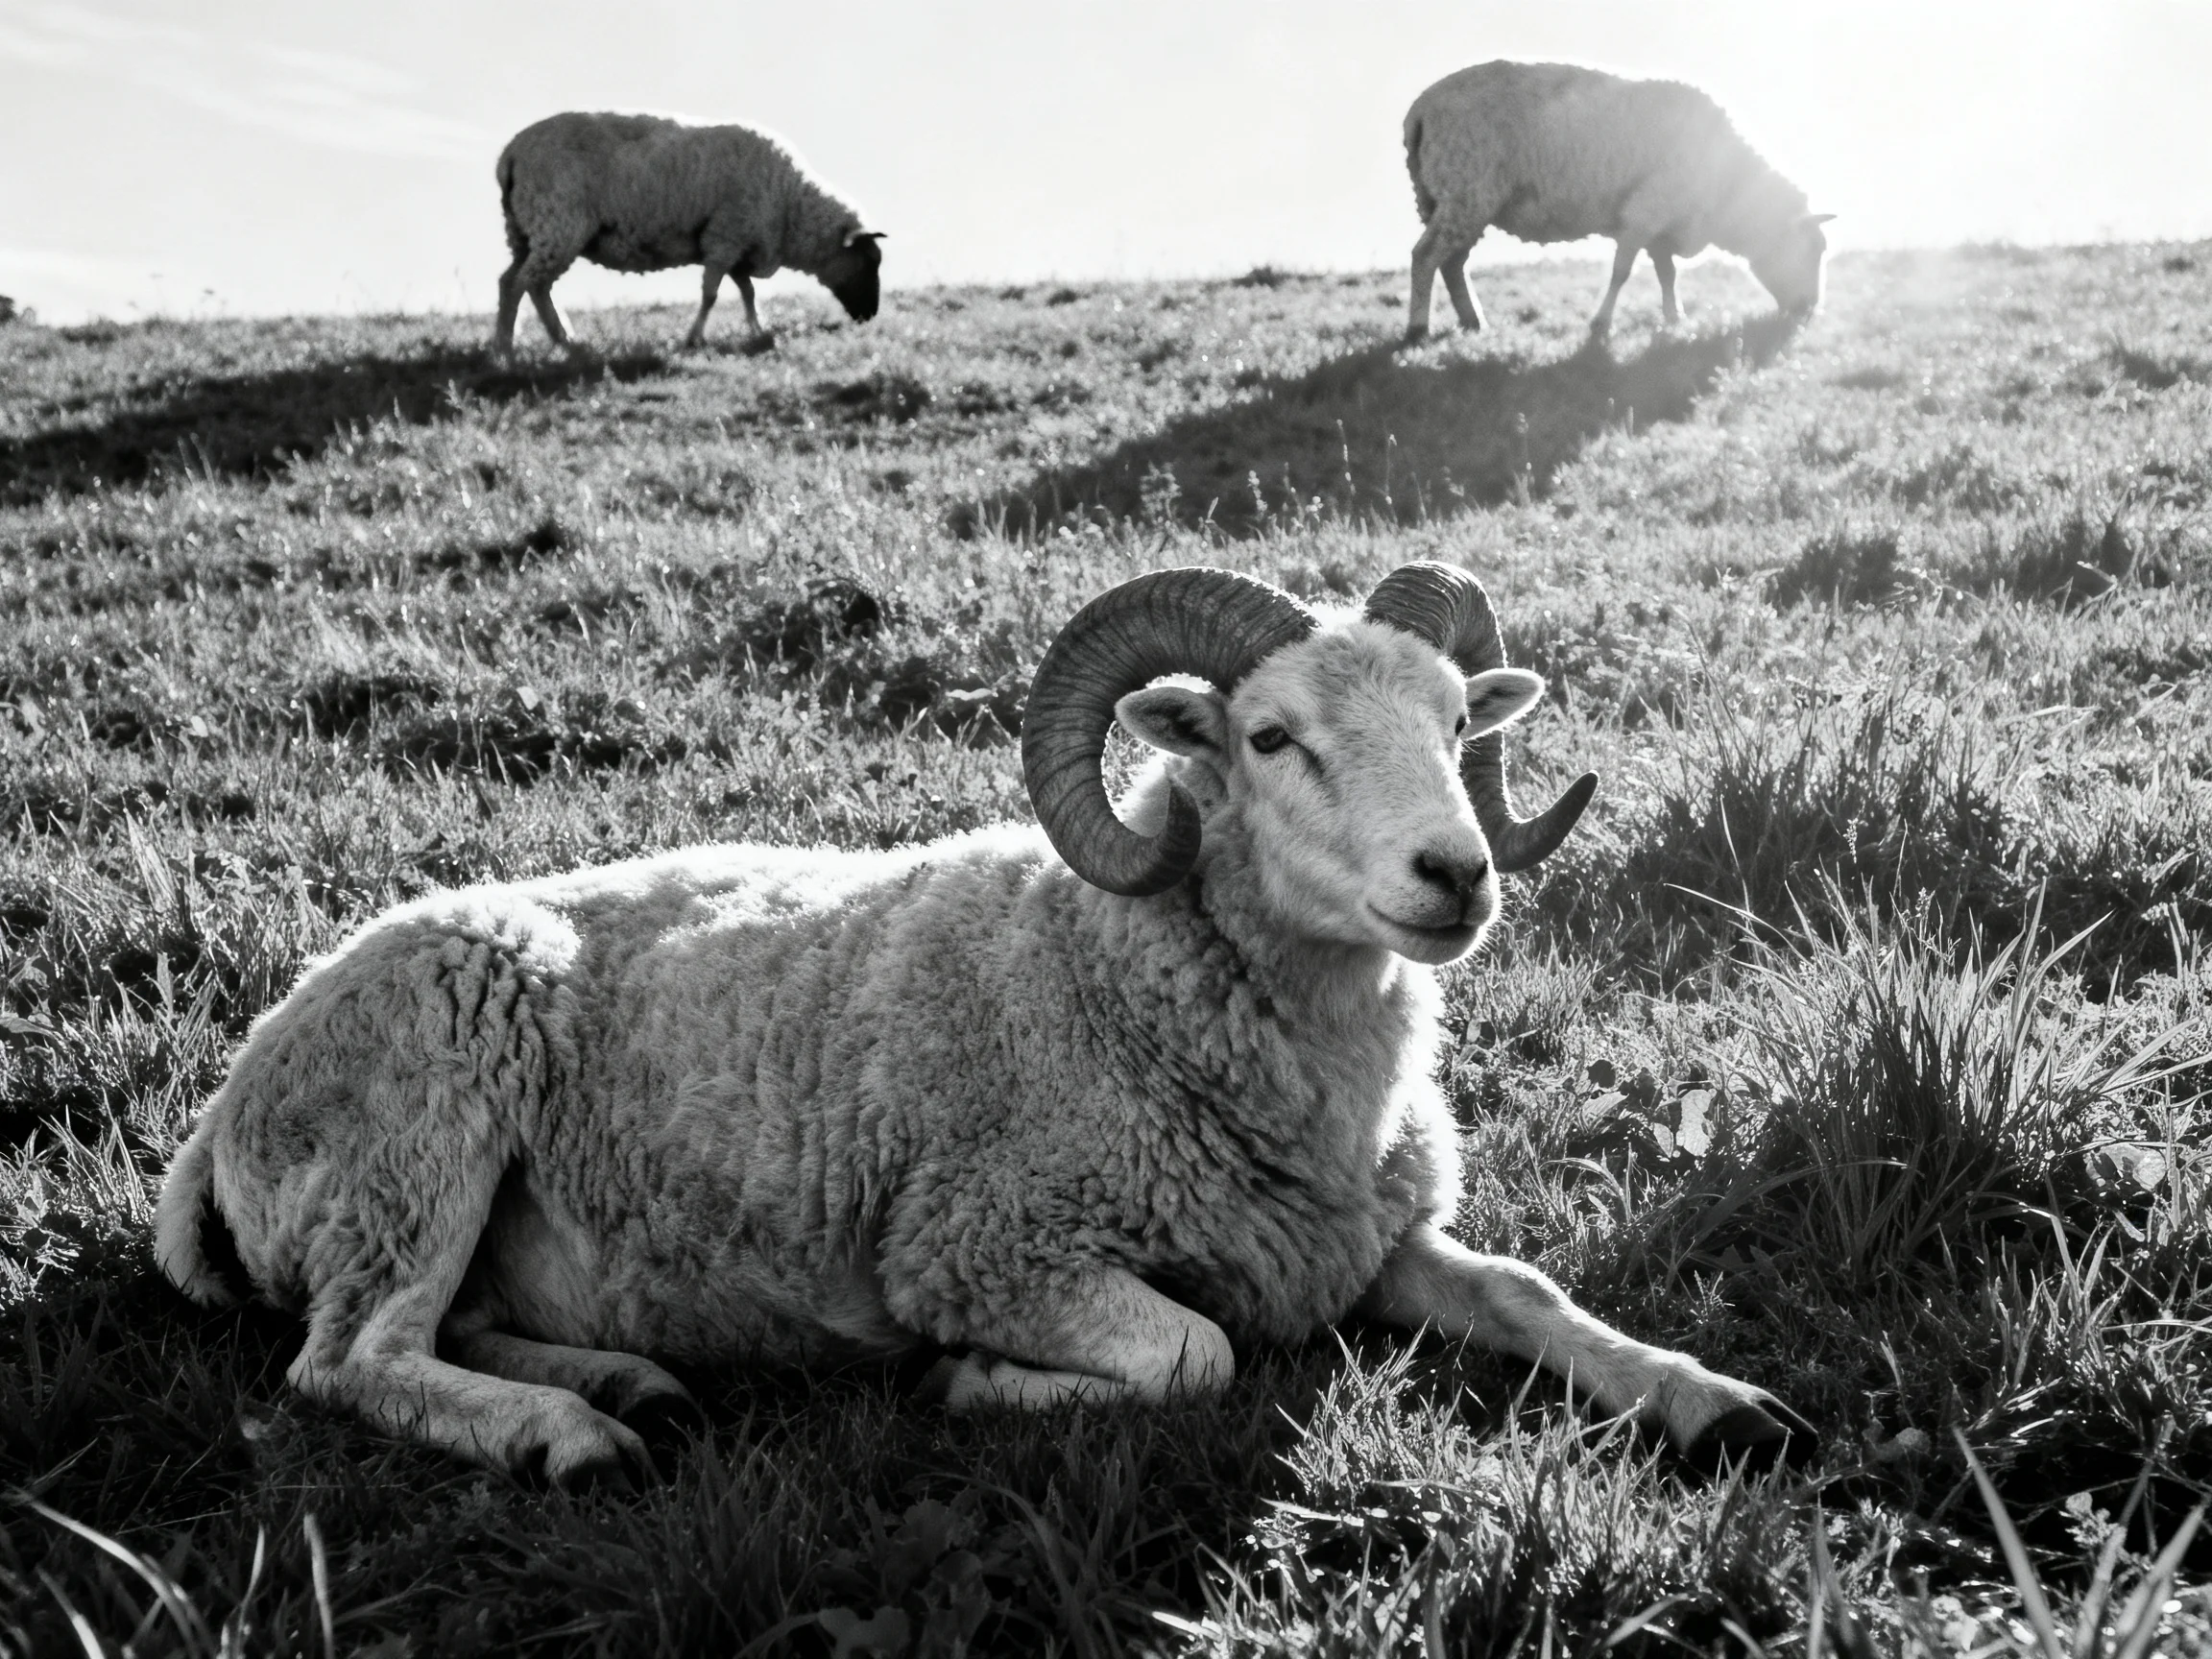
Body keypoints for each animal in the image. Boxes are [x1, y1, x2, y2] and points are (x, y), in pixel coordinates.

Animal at [155, 563, 1813, 1485]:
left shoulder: (1365, 1237)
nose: (1458, 875)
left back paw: (622, 1383)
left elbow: (1533, 1295)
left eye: (1462, 721)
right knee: (349, 1360)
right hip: (418, 1117)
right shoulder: (980, 1247)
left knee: (442, 1330)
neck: (1121, 965)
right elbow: (1201, 1355)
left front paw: (1712, 1402)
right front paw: (968, 1384)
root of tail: (220, 1116)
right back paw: (563, 1437)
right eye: (1271, 738)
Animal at [490, 112, 884, 355]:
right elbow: (711, 295)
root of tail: (510, 155)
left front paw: (757, 329)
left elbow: (748, 293)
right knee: (522, 284)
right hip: (557, 224)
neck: (791, 204)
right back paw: (511, 350)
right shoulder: (725, 238)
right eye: (869, 262)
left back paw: (562, 342)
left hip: (526, 232)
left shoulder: (738, 245)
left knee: (520, 283)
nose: (870, 317)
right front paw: (694, 338)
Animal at [1404, 60, 1833, 342]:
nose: (1810, 309)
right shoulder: (1644, 213)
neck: (1729, 187)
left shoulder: (1662, 225)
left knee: (1452, 263)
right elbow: (1622, 272)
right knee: (1425, 257)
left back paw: (1473, 322)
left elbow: (1667, 274)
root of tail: (1420, 112)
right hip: (1465, 192)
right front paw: (1601, 325)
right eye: (1814, 249)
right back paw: (1417, 329)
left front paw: (1675, 319)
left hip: (1450, 200)